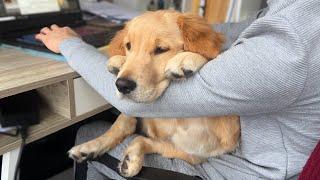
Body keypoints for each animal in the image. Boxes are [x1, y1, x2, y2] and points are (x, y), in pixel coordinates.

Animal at [70, 10, 240, 178]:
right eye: (129, 46)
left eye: (161, 49)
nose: (122, 85)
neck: (177, 119)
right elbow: (129, 129)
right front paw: (119, 60)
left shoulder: (193, 153)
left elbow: (142, 139)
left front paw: (187, 58)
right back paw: (89, 147)